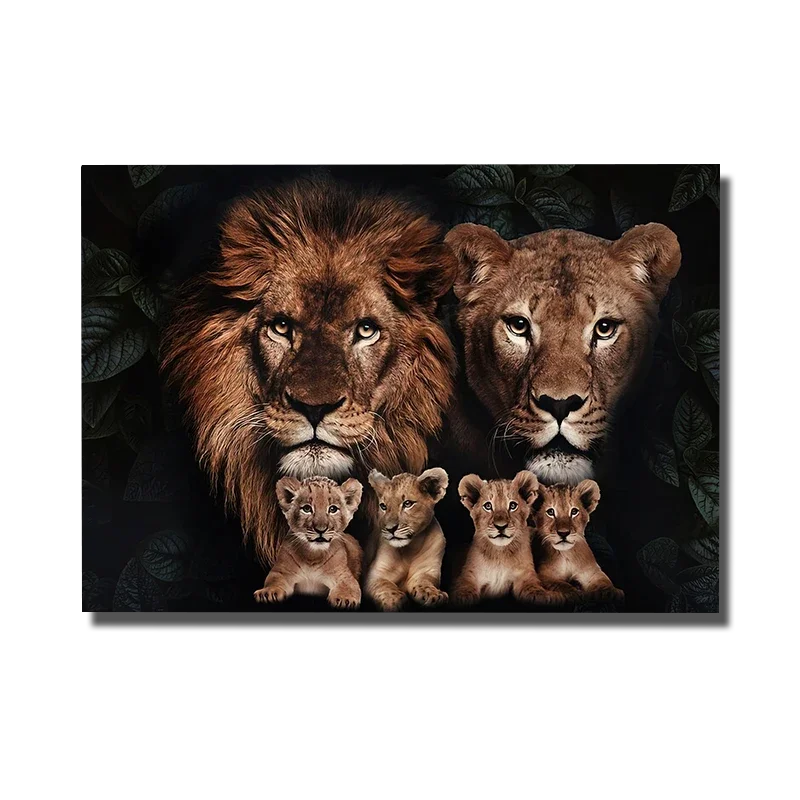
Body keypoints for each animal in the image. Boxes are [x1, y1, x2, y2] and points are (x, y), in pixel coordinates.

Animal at [254, 476, 364, 608]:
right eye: (307, 509)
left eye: (333, 509)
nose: (321, 530)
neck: (313, 555)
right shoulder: (281, 572)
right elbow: (274, 581)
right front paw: (267, 593)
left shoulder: (344, 575)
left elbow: (348, 586)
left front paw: (344, 599)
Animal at [365, 467, 449, 611]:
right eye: (383, 506)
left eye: (407, 503)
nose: (390, 529)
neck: (410, 548)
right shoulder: (374, 575)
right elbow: (384, 584)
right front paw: (395, 600)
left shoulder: (426, 572)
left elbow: (424, 582)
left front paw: (433, 594)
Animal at [452, 470, 560, 606]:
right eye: (488, 506)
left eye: (513, 505)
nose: (501, 526)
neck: (500, 553)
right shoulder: (468, 575)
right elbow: (463, 588)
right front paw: (463, 597)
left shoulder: (525, 575)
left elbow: (533, 587)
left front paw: (543, 595)